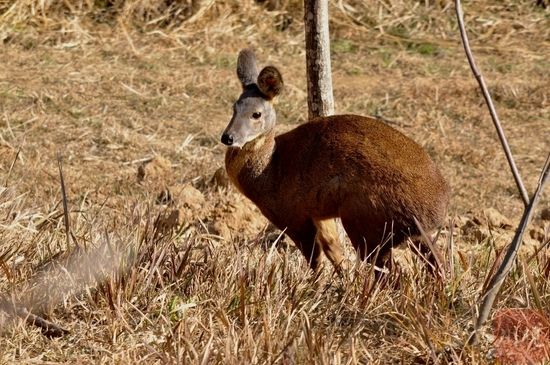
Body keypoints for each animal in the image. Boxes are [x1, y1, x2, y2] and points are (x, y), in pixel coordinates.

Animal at [221, 49, 452, 276]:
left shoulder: (294, 216)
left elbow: (315, 261)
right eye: (233, 108)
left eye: (256, 114)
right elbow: (335, 252)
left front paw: (313, 284)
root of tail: (436, 213)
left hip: (364, 220)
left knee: (390, 272)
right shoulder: (319, 215)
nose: (228, 137)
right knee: (438, 265)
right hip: (408, 234)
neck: (271, 170)